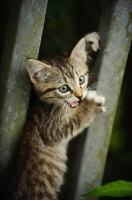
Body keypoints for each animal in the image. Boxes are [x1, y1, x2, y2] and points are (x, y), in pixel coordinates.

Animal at [2, 32, 105, 199]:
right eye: (63, 88)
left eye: (81, 79)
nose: (80, 96)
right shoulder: (51, 129)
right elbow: (74, 122)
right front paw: (91, 103)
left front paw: (89, 43)